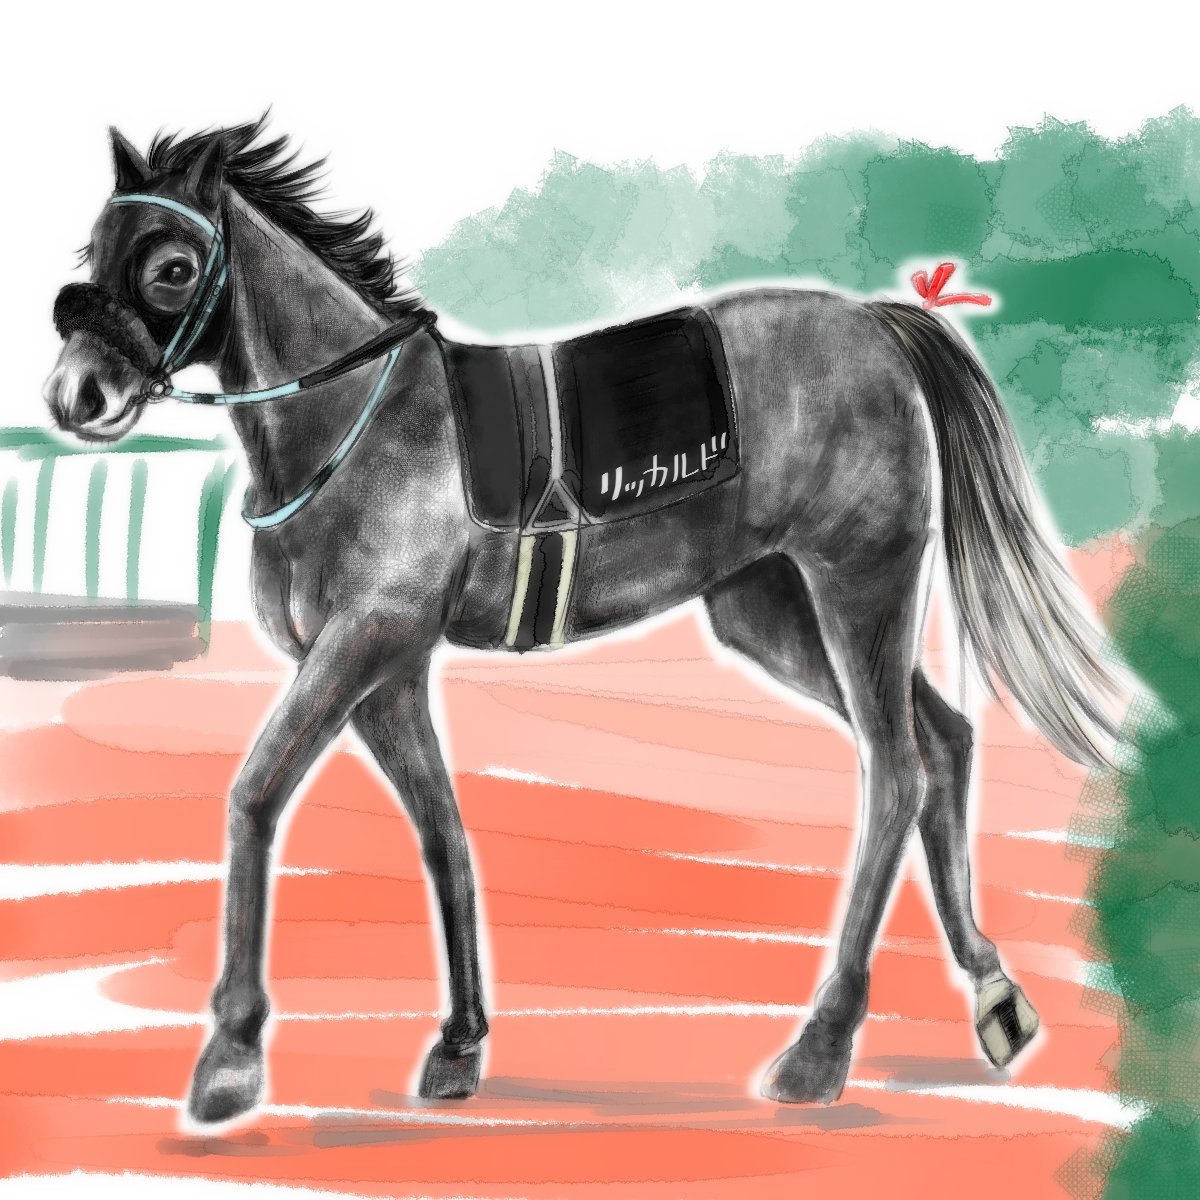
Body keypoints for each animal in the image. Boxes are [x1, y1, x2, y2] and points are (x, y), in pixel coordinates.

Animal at [43, 119, 1123, 1125]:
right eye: (92, 252)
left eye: (173, 268)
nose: (74, 395)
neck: (360, 427)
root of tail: (871, 322)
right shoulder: (387, 670)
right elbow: (442, 831)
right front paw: (461, 1043)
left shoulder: (364, 642)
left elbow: (256, 794)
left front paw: (231, 1056)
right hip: (771, 608)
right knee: (942, 738)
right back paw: (991, 992)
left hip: (859, 584)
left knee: (895, 768)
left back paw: (820, 1047)